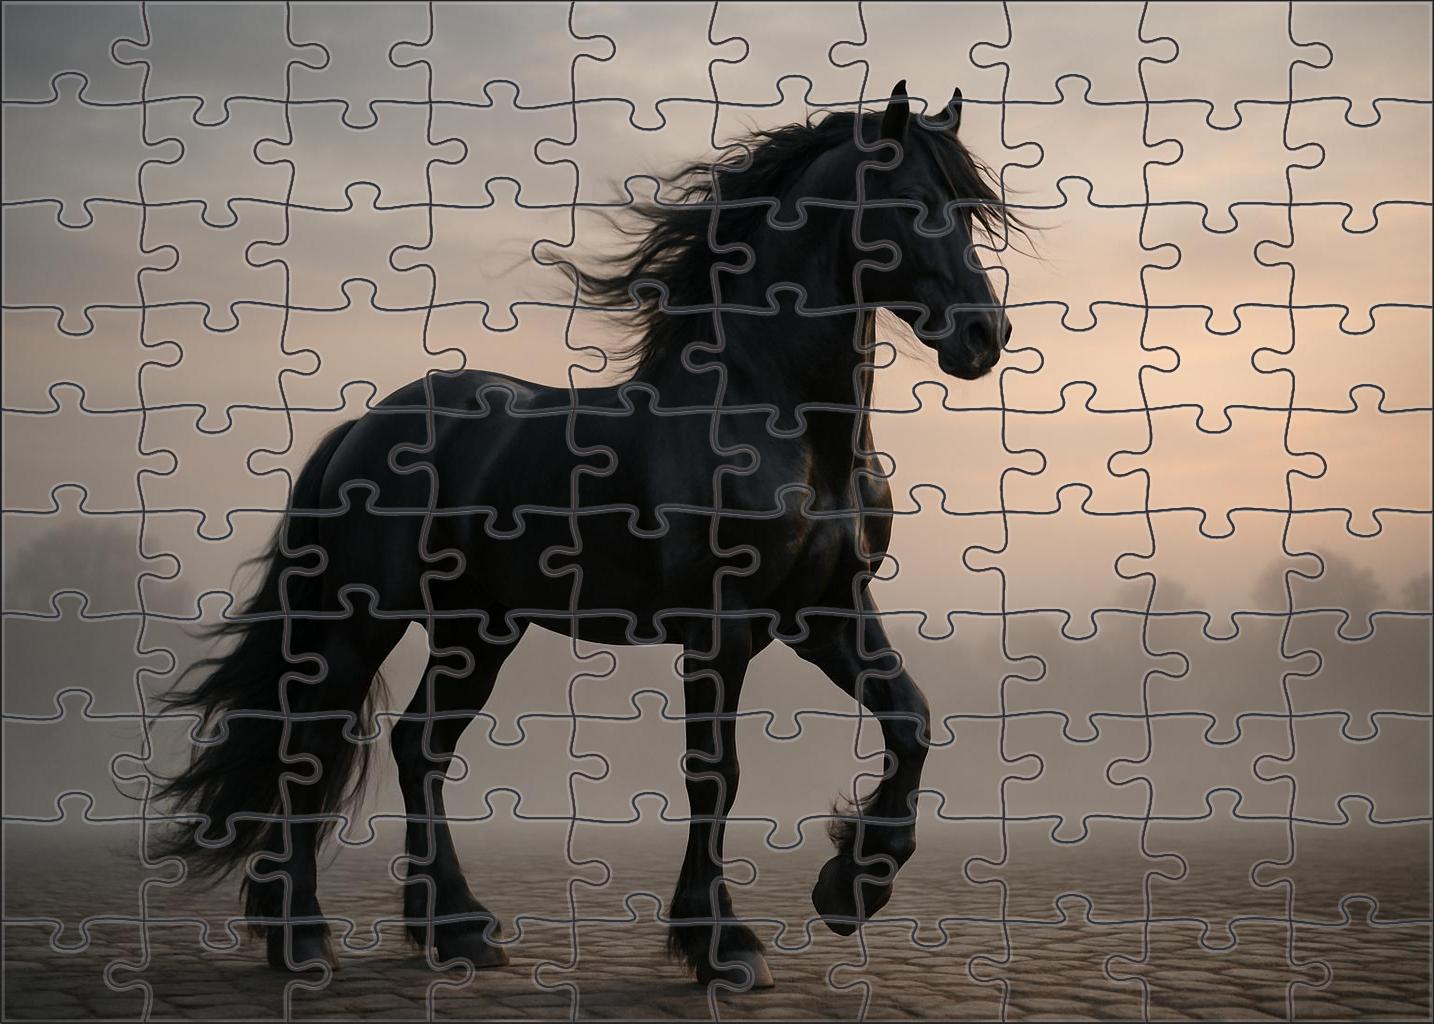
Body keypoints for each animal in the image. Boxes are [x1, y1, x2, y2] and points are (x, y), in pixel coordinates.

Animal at [157, 80, 1014, 989]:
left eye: (971, 212)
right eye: (913, 203)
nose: (984, 337)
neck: (786, 426)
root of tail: (362, 427)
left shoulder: (826, 615)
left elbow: (911, 721)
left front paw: (851, 889)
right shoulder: (722, 630)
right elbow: (716, 776)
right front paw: (724, 946)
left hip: (476, 634)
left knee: (417, 747)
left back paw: (457, 932)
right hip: (359, 625)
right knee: (315, 748)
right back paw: (303, 938)